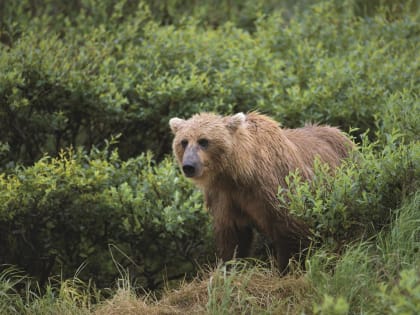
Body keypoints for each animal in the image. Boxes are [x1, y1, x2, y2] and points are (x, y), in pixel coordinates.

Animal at [169, 111, 352, 272]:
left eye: (204, 141)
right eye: (184, 142)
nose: (189, 166)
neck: (240, 174)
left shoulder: (274, 187)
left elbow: (290, 228)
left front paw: (287, 268)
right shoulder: (225, 197)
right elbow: (233, 237)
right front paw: (230, 267)